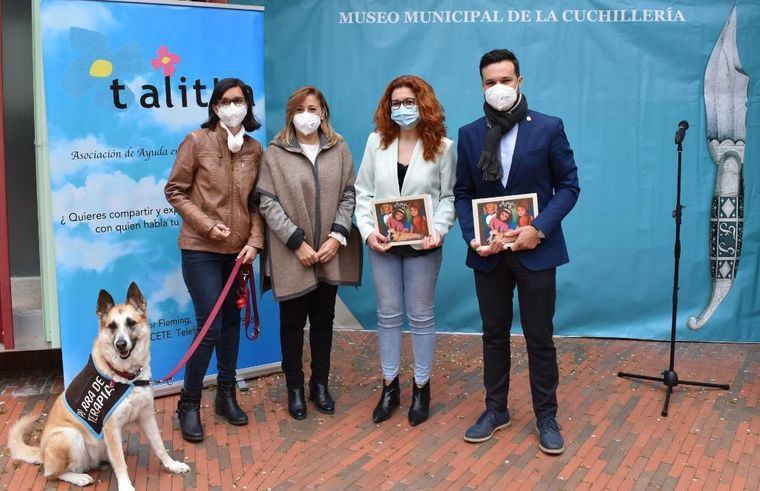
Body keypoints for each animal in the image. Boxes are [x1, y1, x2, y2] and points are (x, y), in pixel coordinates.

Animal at [7, 282, 190, 491]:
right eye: (112, 326)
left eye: (131, 323)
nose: (120, 344)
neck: (127, 377)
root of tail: (42, 452)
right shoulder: (111, 427)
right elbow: (120, 462)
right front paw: (125, 485)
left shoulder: (146, 417)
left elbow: (159, 446)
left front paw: (172, 465)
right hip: (70, 436)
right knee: (51, 474)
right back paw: (78, 478)